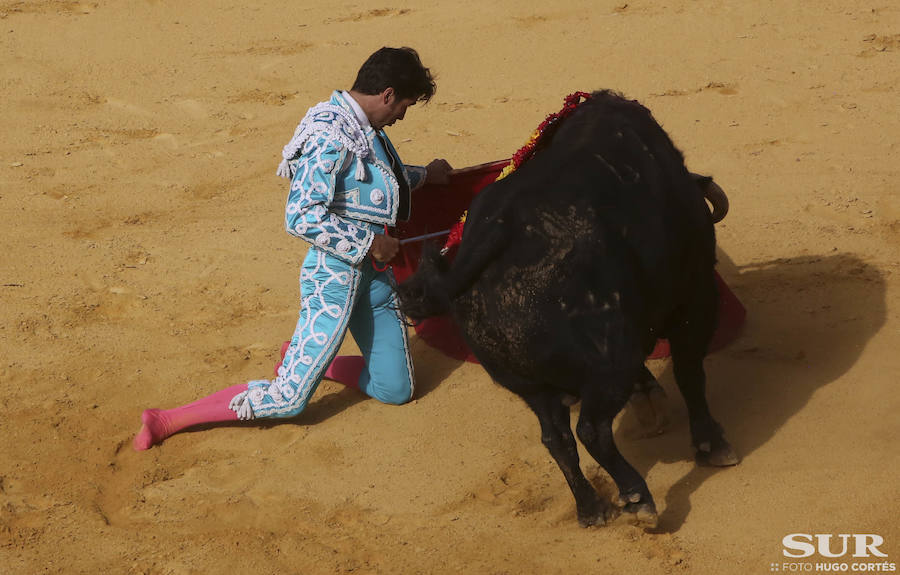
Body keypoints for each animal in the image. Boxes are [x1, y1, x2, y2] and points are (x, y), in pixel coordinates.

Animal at [398, 89, 736, 528]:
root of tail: (493, 233)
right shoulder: (695, 296)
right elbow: (690, 373)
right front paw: (712, 444)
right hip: (611, 363)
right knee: (592, 430)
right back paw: (638, 499)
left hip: (530, 385)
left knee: (556, 438)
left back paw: (591, 508)